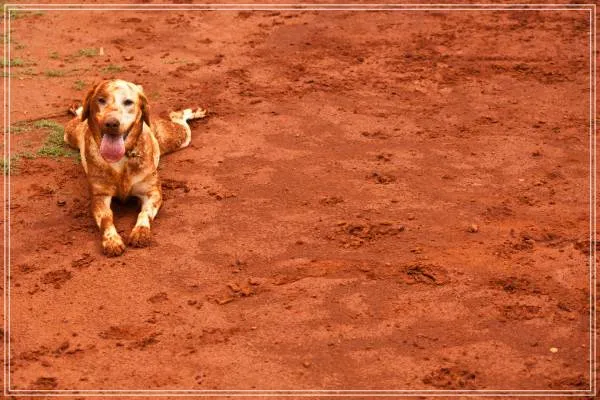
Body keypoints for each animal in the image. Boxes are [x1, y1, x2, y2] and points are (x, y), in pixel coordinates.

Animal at [64, 79, 206, 256]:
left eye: (128, 102)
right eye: (101, 100)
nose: (111, 123)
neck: (122, 159)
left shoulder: (153, 192)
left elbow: (144, 212)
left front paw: (141, 232)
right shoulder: (99, 197)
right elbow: (106, 218)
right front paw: (111, 240)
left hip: (178, 138)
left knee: (178, 116)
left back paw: (194, 111)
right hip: (69, 135)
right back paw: (77, 109)